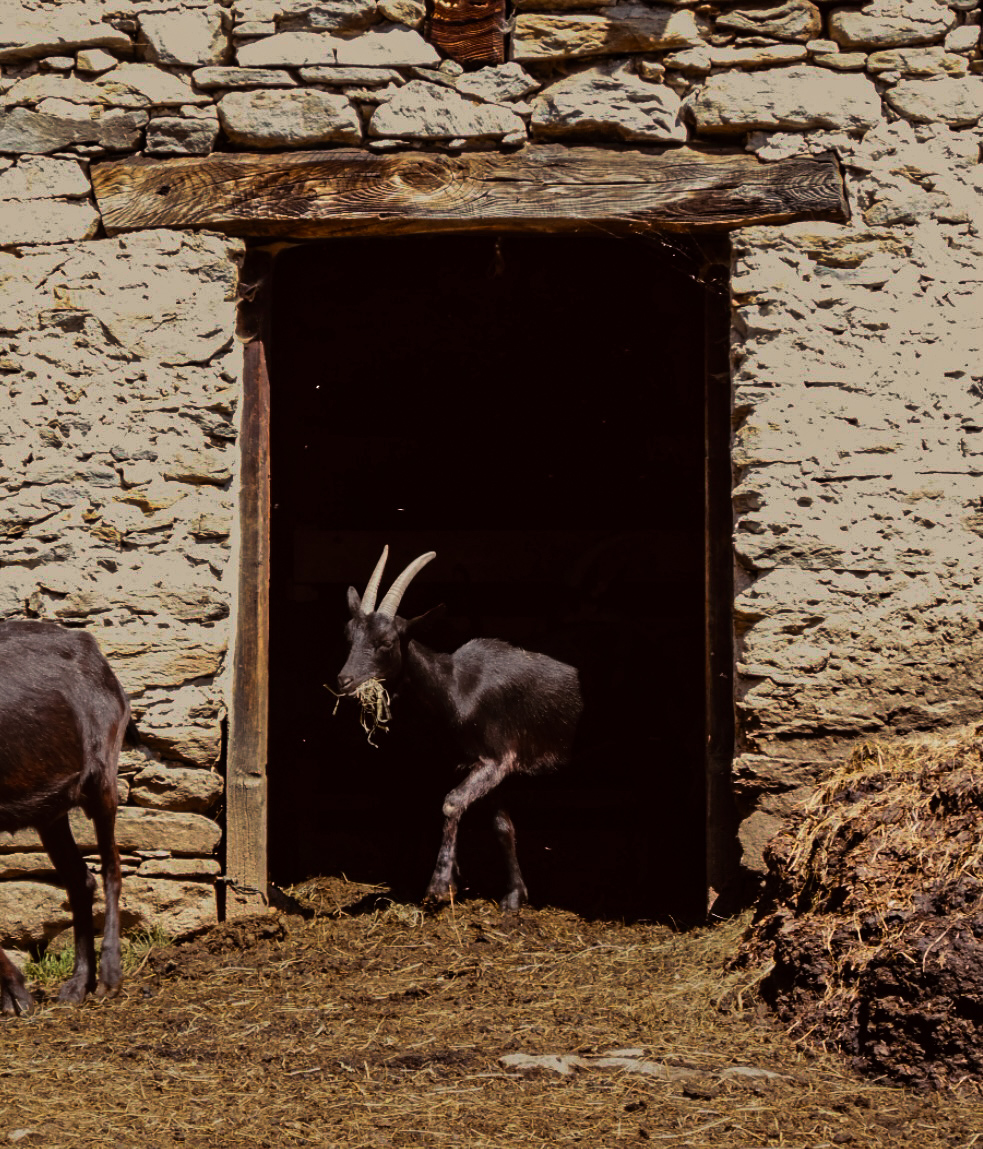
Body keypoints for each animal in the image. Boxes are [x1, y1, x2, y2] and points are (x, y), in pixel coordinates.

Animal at [0, 620, 130, 1014]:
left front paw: (16, 995)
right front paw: (14, 994)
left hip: (103, 775)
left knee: (111, 867)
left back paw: (109, 976)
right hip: (49, 810)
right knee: (79, 879)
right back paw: (77, 984)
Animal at [337, 547, 583, 911]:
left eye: (386, 642)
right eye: (349, 635)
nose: (345, 680)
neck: (457, 687)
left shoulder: (498, 758)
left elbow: (452, 803)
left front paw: (440, 886)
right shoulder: (485, 766)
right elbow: (502, 826)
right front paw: (513, 895)